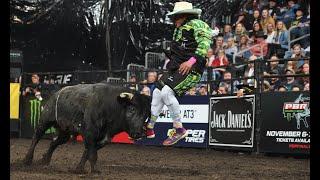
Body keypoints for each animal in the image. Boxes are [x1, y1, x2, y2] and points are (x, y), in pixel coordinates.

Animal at [23, 83, 151, 173]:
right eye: (132, 109)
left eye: (145, 114)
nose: (139, 133)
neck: (111, 106)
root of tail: (56, 94)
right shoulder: (90, 133)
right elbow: (92, 155)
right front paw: (95, 171)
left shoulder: (103, 139)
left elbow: (88, 153)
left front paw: (78, 169)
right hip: (45, 120)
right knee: (36, 137)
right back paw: (27, 159)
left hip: (65, 132)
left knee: (54, 142)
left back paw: (45, 160)